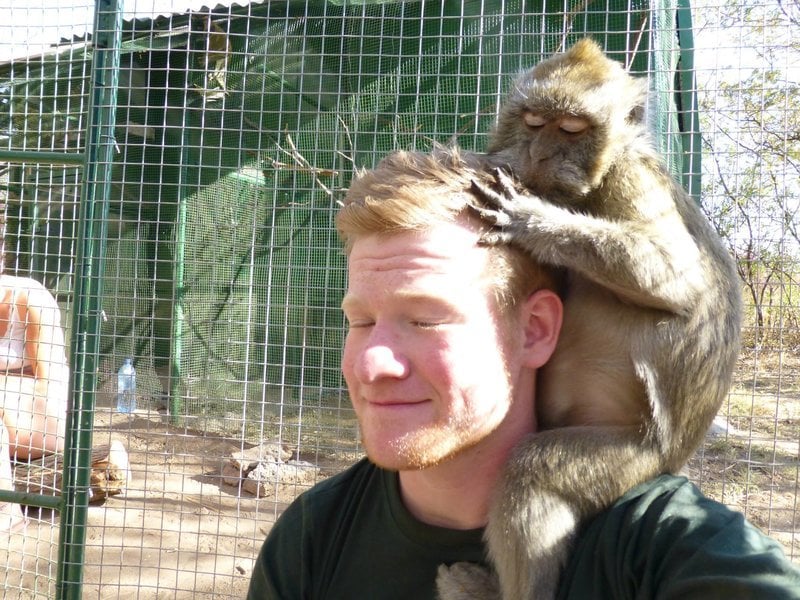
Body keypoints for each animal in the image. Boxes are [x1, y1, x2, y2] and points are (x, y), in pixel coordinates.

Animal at [436, 38, 743, 599]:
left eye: (573, 128)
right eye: (534, 120)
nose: (539, 155)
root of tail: (676, 456)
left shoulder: (630, 179)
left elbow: (679, 280)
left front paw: (531, 218)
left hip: (632, 460)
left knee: (531, 472)